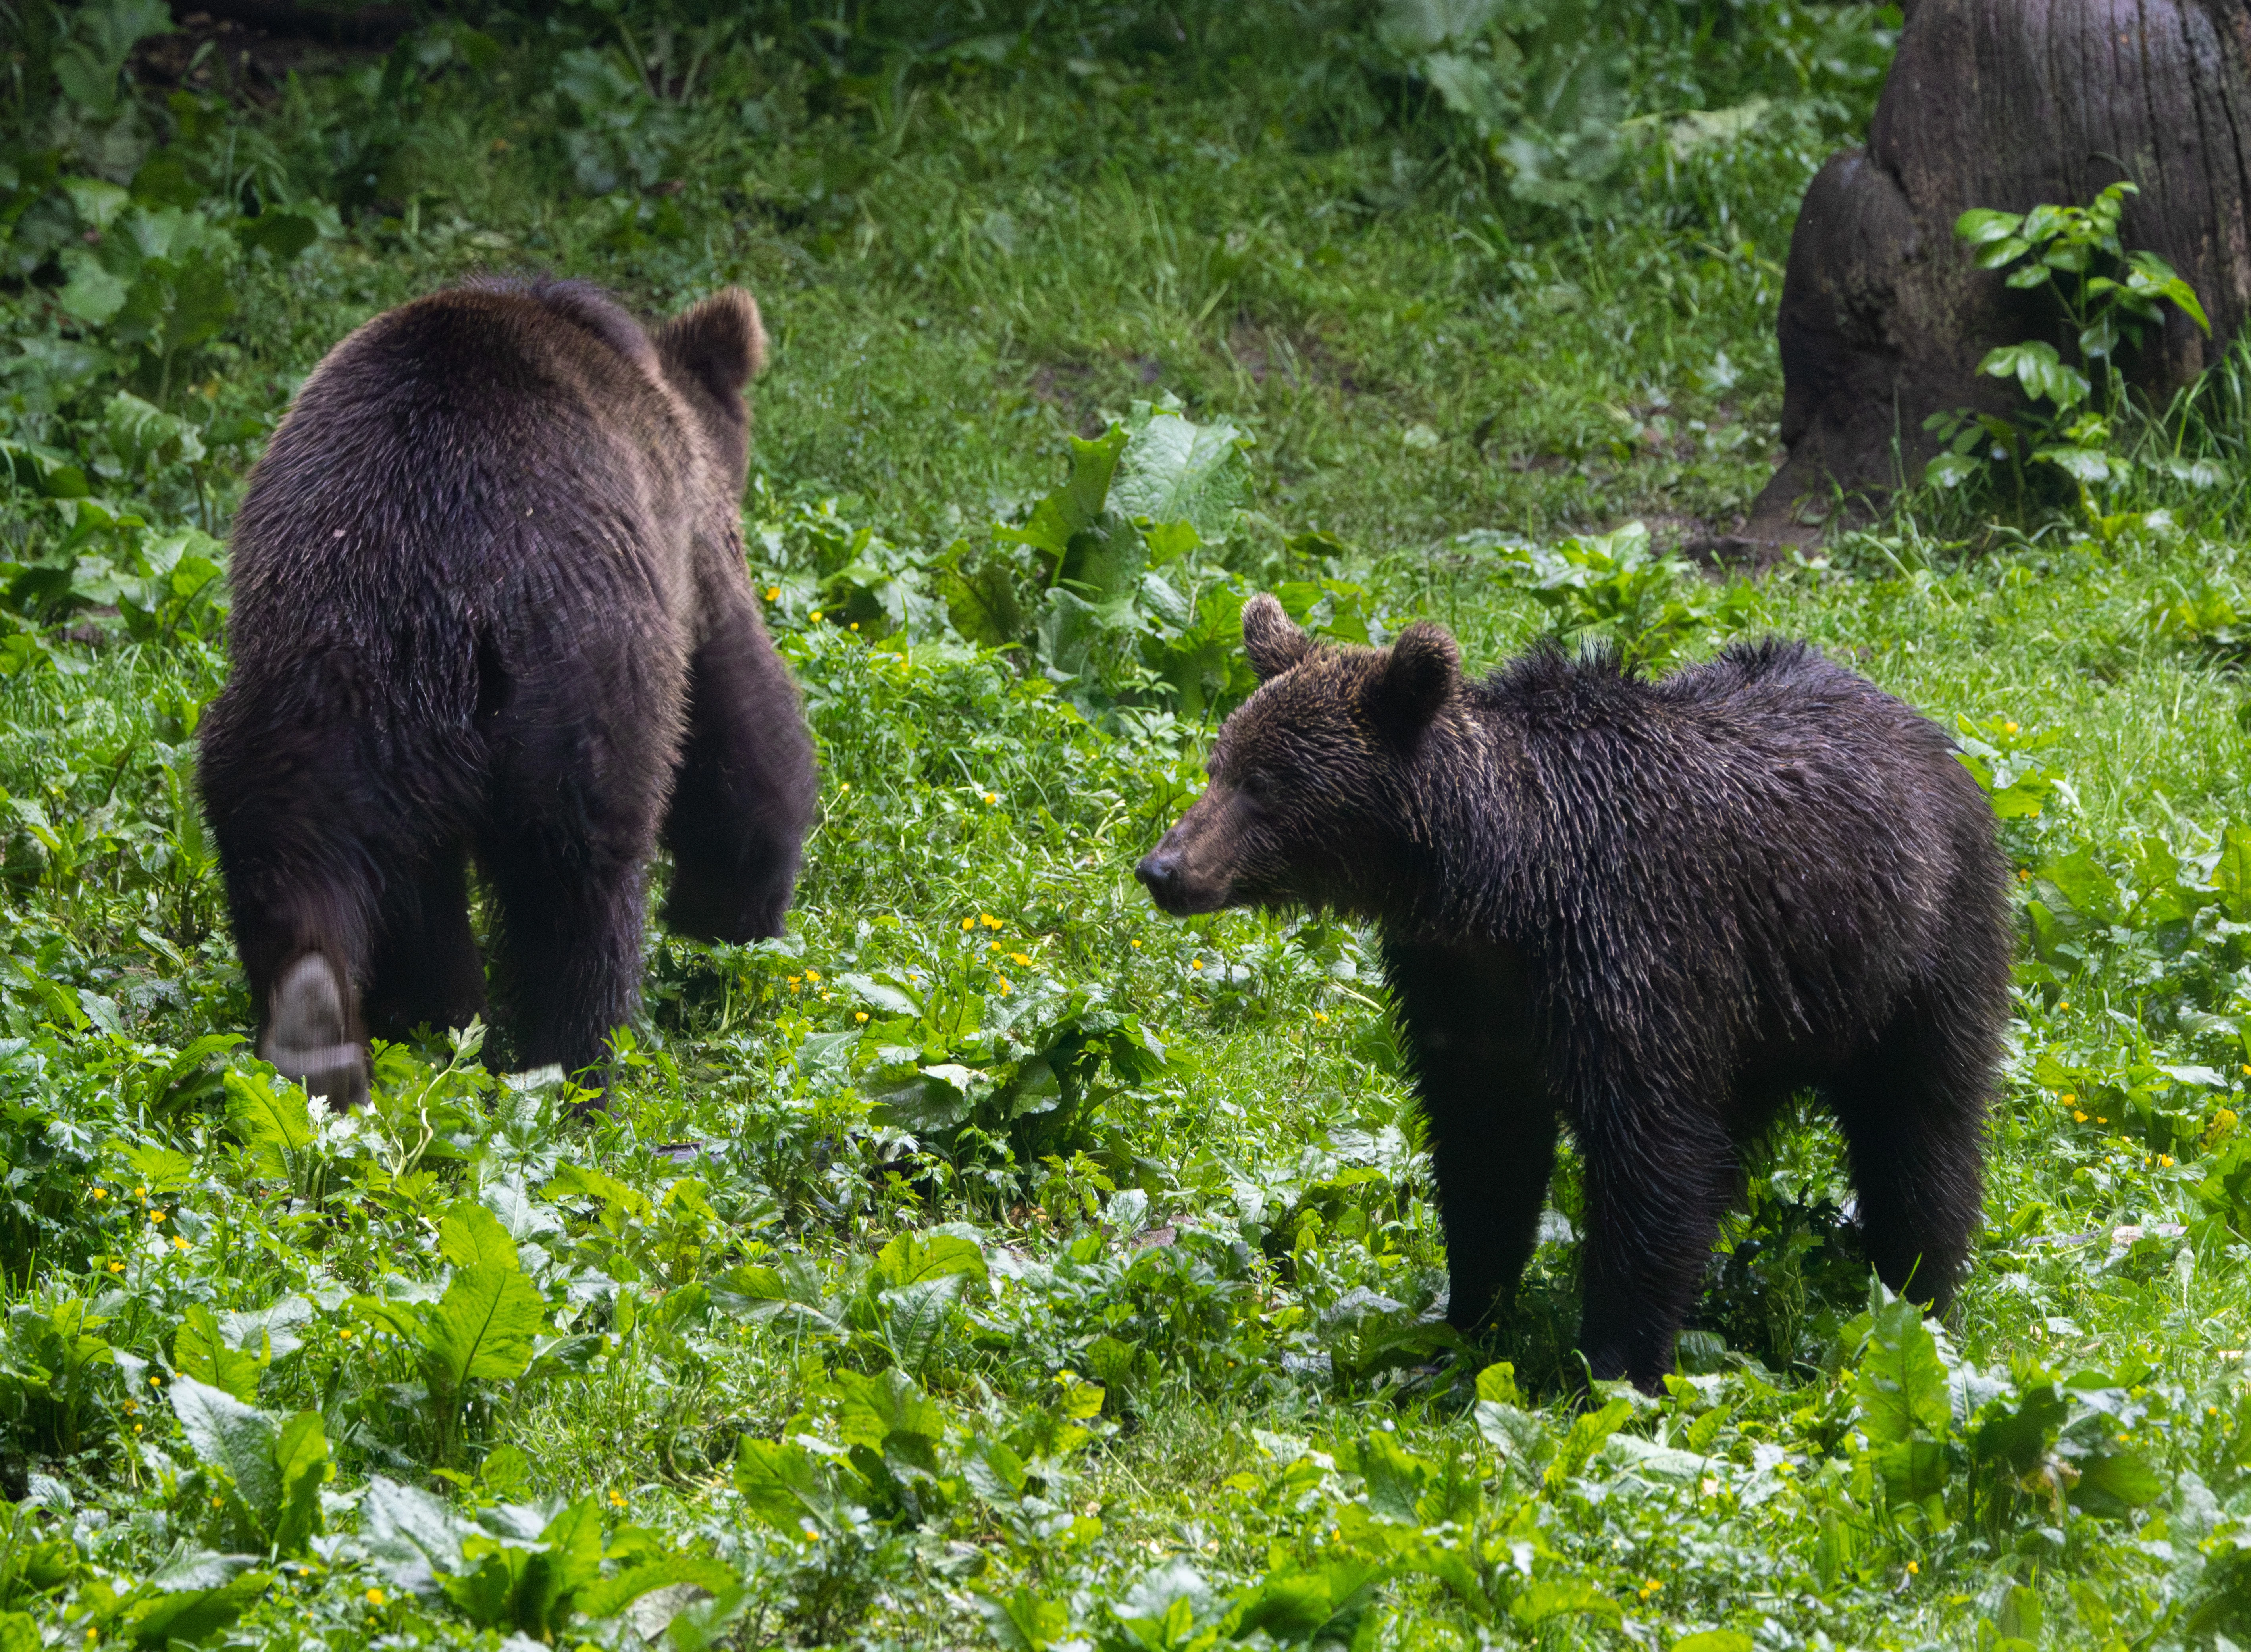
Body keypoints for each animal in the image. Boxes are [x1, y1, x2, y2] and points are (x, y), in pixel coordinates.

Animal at [199, 277, 817, 1111]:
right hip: (575, 681)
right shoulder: (686, 542)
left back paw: (334, 1026)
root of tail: (439, 597)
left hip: (315, 678)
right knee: (579, 879)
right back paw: (570, 1067)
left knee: (299, 843)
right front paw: (732, 912)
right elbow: (740, 722)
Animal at [1137, 595, 2009, 1391]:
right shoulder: (1462, 992)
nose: (1163, 867)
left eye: (1263, 783)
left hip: (1915, 955)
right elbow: (1485, 1150)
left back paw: (1918, 1297)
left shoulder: (1633, 957)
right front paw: (1461, 1323)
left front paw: (1613, 1364)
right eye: (1216, 763)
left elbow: (1648, 1156)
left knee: (1920, 1134)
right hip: (1773, 1009)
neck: (1502, 885)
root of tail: (1922, 727)